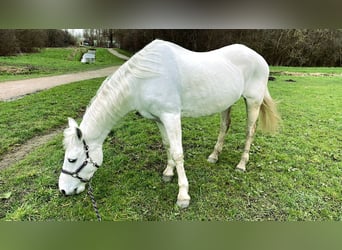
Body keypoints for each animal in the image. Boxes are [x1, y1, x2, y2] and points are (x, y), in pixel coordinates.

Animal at [57, 38, 280, 207]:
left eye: (72, 159)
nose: (63, 190)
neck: (143, 79)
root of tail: (260, 58)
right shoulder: (159, 119)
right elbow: (167, 146)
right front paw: (168, 173)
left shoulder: (171, 116)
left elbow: (178, 152)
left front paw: (183, 196)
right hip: (227, 102)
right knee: (225, 126)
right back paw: (214, 156)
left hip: (253, 102)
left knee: (249, 131)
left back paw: (242, 164)